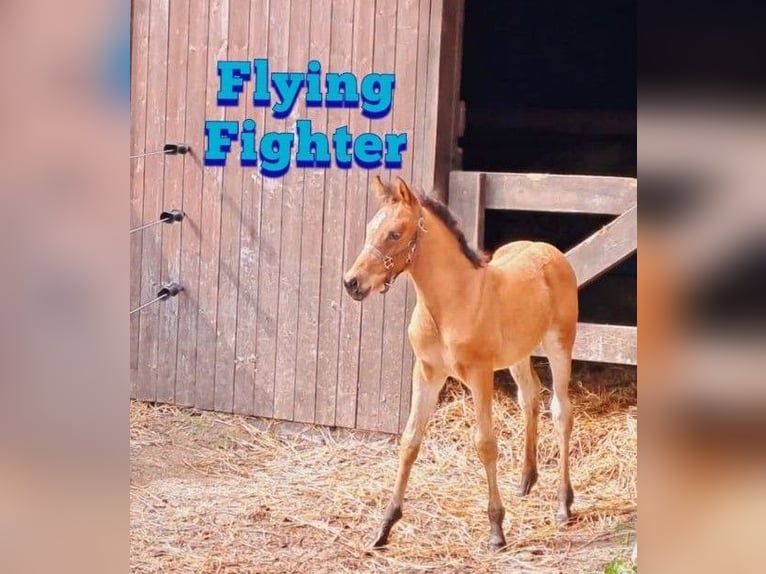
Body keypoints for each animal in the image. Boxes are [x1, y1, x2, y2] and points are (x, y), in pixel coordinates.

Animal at [342, 176, 579, 551]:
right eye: (369, 228)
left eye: (394, 233)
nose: (352, 283)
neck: (451, 302)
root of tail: (549, 250)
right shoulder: (427, 371)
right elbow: (410, 440)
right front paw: (384, 527)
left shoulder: (479, 374)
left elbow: (485, 444)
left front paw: (496, 530)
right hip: (518, 353)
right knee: (530, 397)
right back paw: (526, 480)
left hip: (559, 343)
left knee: (561, 411)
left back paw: (563, 505)